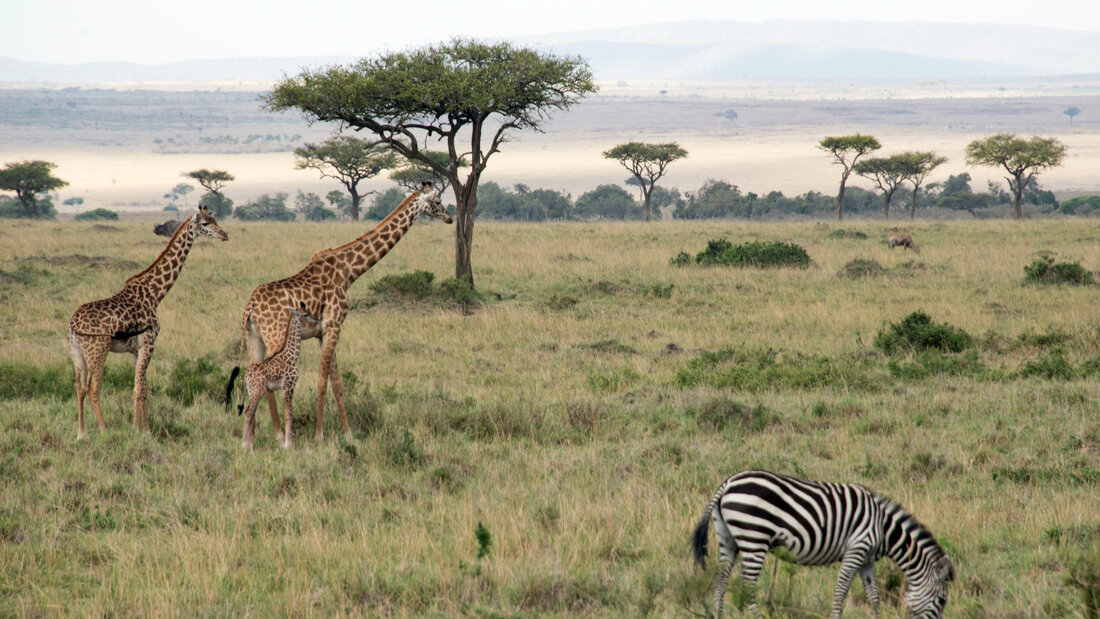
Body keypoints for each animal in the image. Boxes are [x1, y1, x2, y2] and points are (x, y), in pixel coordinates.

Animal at [692, 469, 954, 618]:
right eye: (942, 601)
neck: (882, 528)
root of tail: (728, 483)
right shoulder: (856, 551)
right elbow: (840, 593)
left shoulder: (866, 561)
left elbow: (873, 597)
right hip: (754, 536)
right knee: (747, 585)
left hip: (728, 538)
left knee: (721, 580)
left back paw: (718, 615)